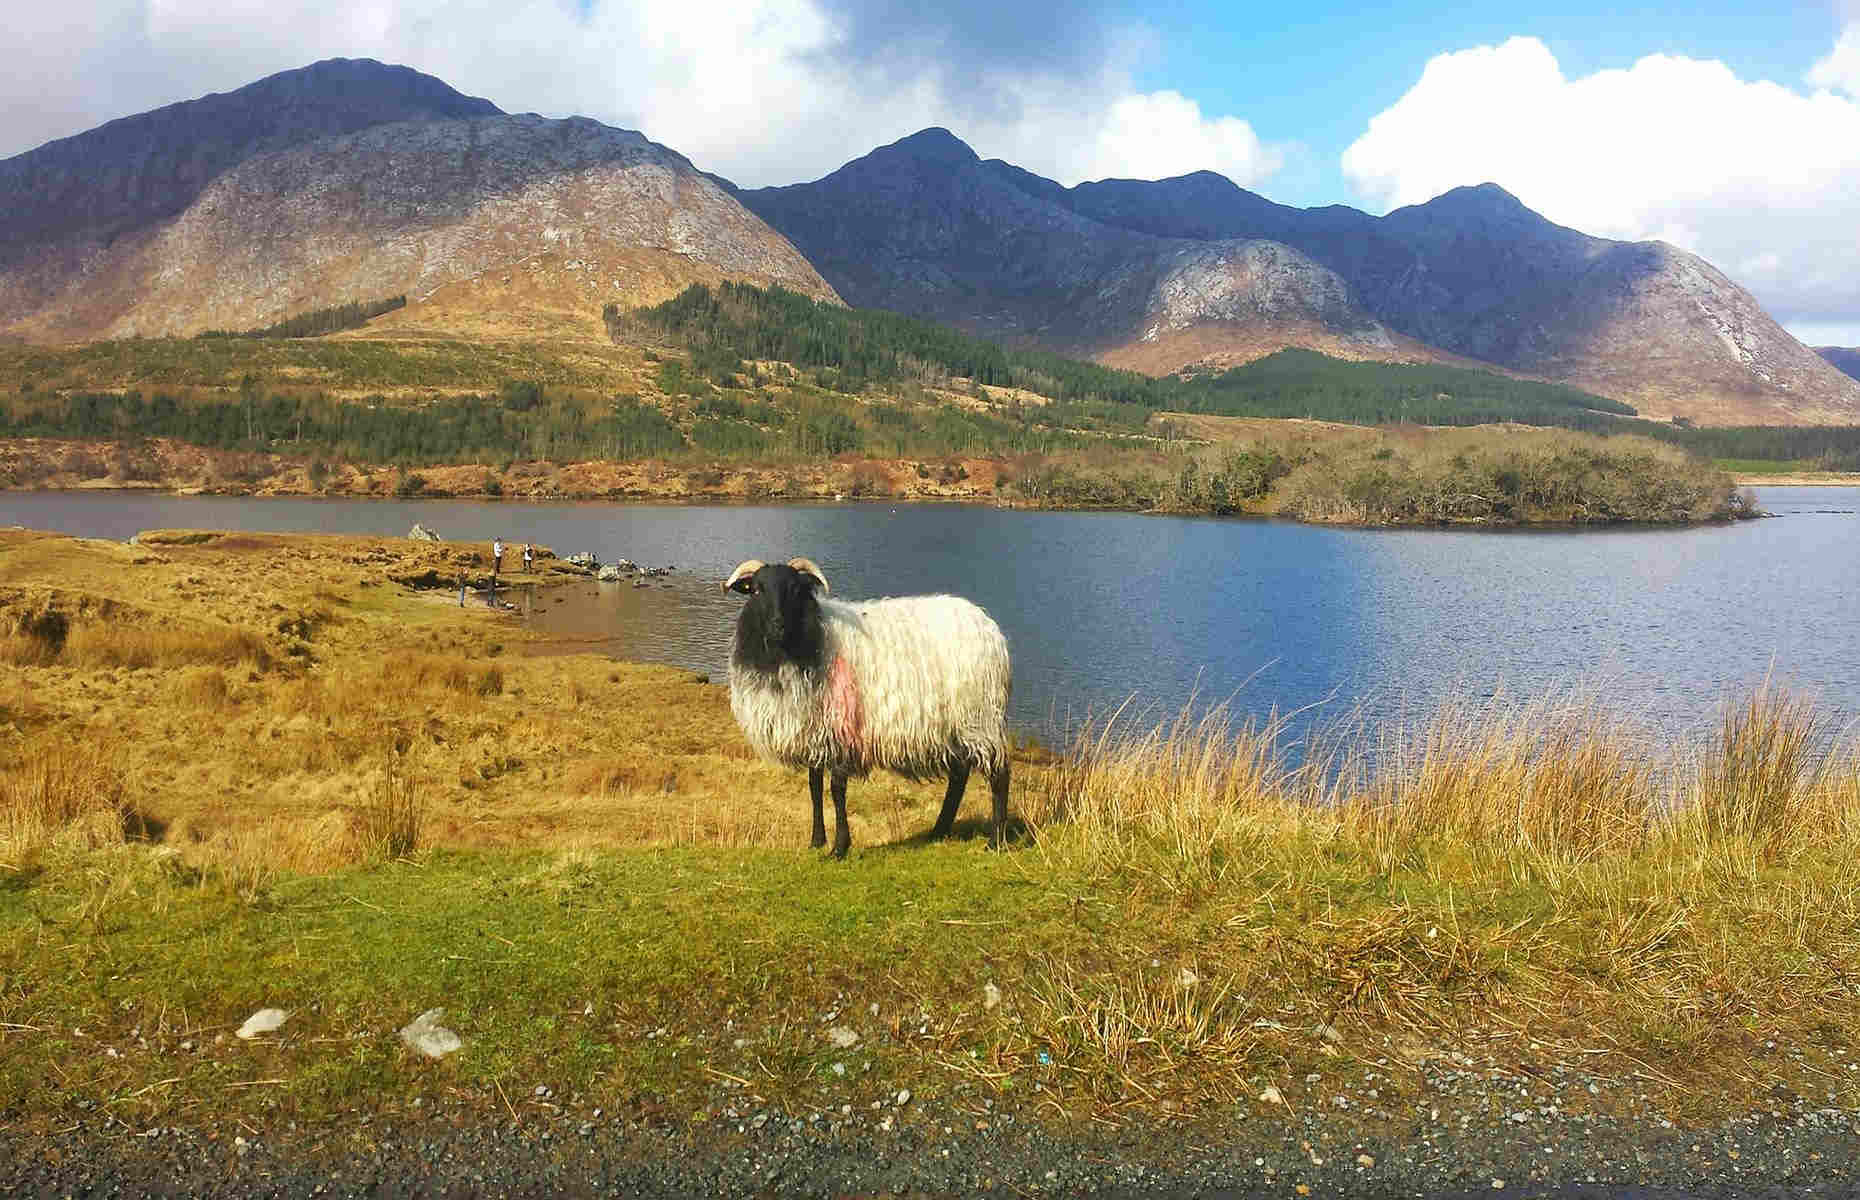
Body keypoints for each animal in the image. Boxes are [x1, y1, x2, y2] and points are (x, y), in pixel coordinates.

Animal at [725, 558, 1019, 855]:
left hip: (980, 717)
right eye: (756, 590)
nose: (777, 626)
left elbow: (837, 790)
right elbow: (814, 787)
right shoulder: (814, 733)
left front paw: (839, 848)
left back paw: (995, 841)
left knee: (999, 774)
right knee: (959, 777)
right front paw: (816, 841)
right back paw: (938, 831)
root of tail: (987, 626)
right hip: (956, 725)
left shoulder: (842, 730)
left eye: (796, 589)